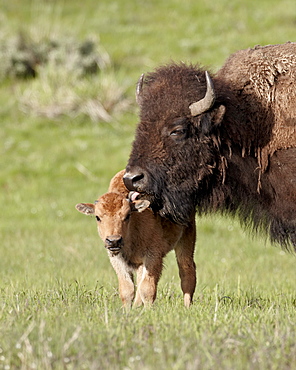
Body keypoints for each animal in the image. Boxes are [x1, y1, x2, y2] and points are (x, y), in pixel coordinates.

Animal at [75, 174, 197, 310]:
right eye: (97, 217)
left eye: (127, 215)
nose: (114, 240)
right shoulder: (117, 260)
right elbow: (127, 289)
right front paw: (127, 310)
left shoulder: (152, 257)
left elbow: (147, 288)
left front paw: (148, 310)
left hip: (186, 238)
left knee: (186, 270)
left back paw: (187, 306)